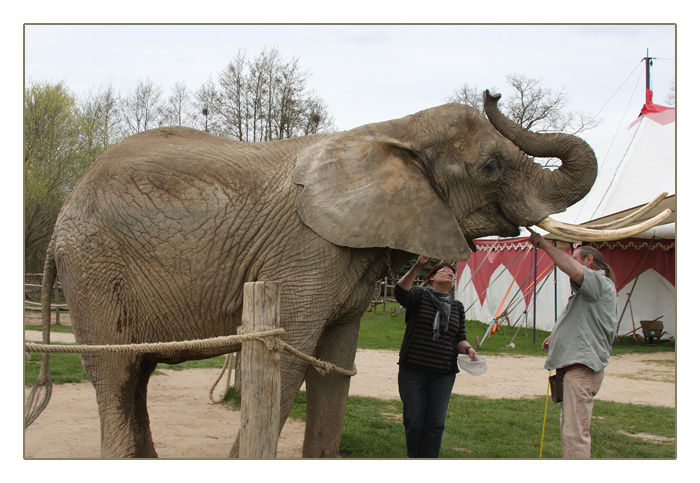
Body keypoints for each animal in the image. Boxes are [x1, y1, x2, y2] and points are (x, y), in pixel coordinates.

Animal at [30, 90, 628, 458]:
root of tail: (61, 217)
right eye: (490, 167)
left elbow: (334, 367)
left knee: (138, 372)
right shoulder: (305, 251)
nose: (494, 93)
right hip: (94, 267)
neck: (391, 128)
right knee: (115, 371)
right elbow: (290, 357)